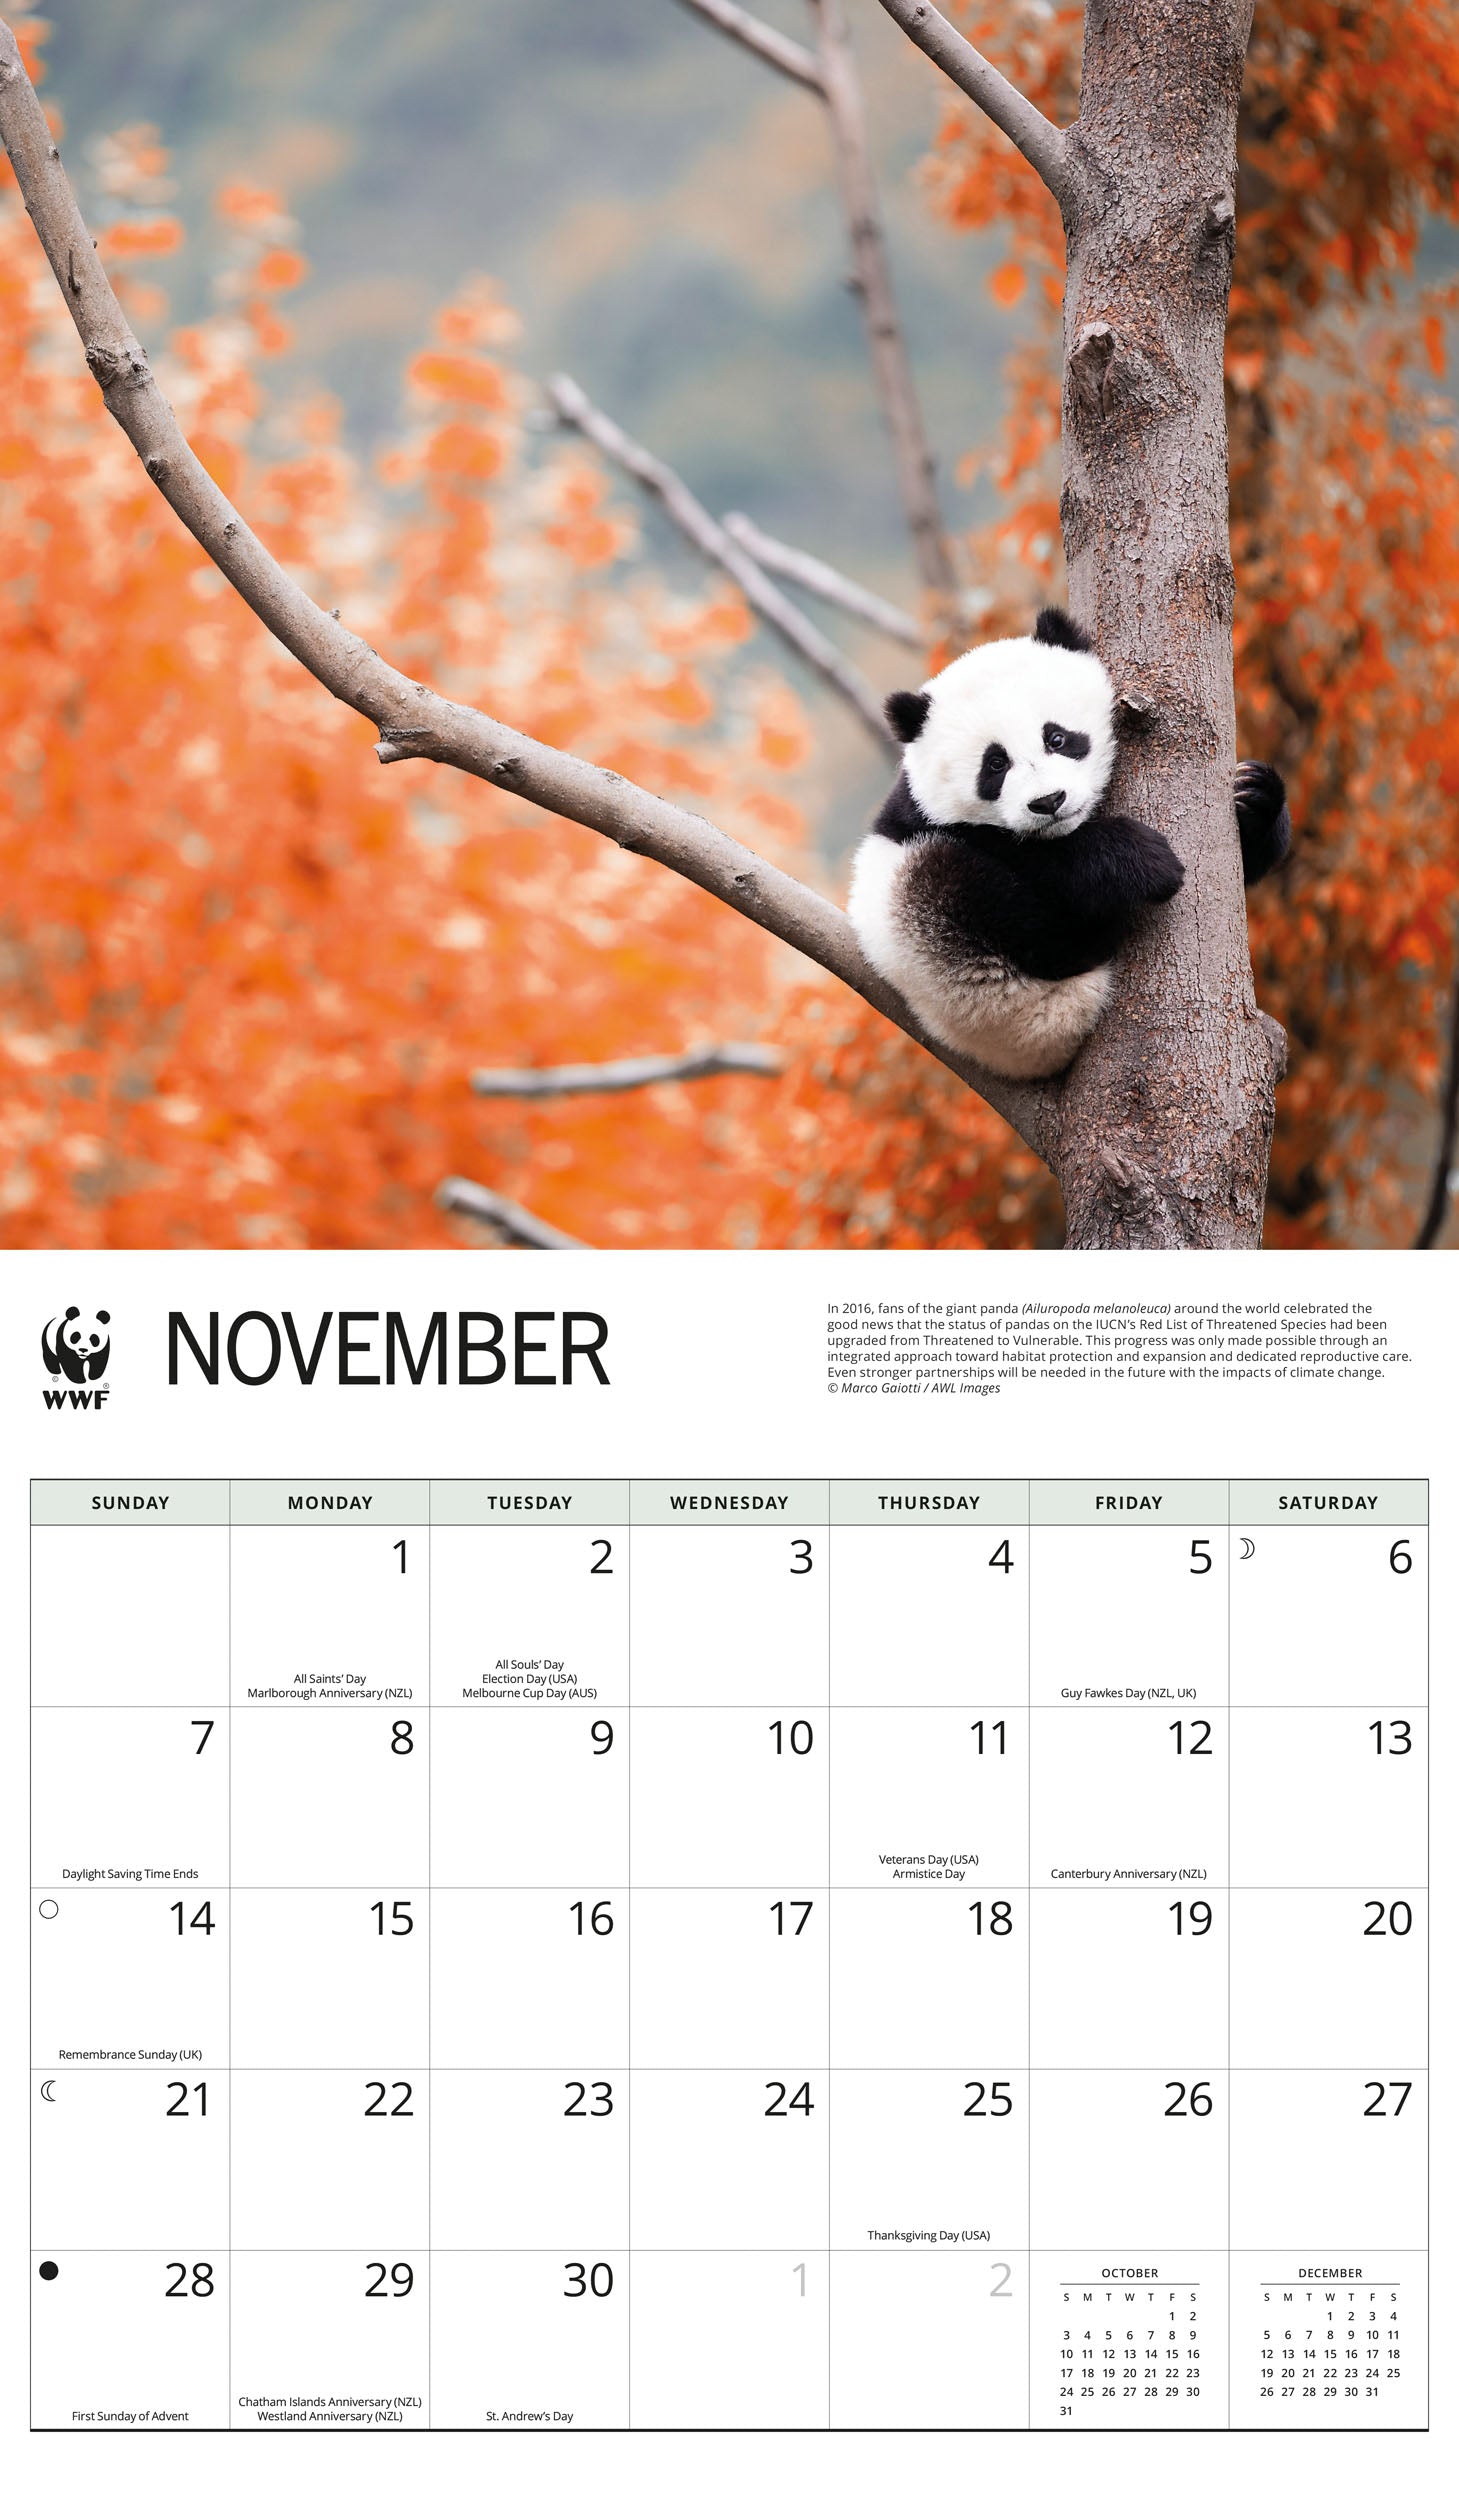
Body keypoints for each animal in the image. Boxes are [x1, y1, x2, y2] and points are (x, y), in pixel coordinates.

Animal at [847, 607, 1291, 1080]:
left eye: (1056, 738)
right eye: (995, 764)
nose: (1049, 801)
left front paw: (1254, 795)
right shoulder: (939, 824)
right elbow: (1048, 862)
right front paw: (1145, 861)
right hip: (944, 944)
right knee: (1000, 914)